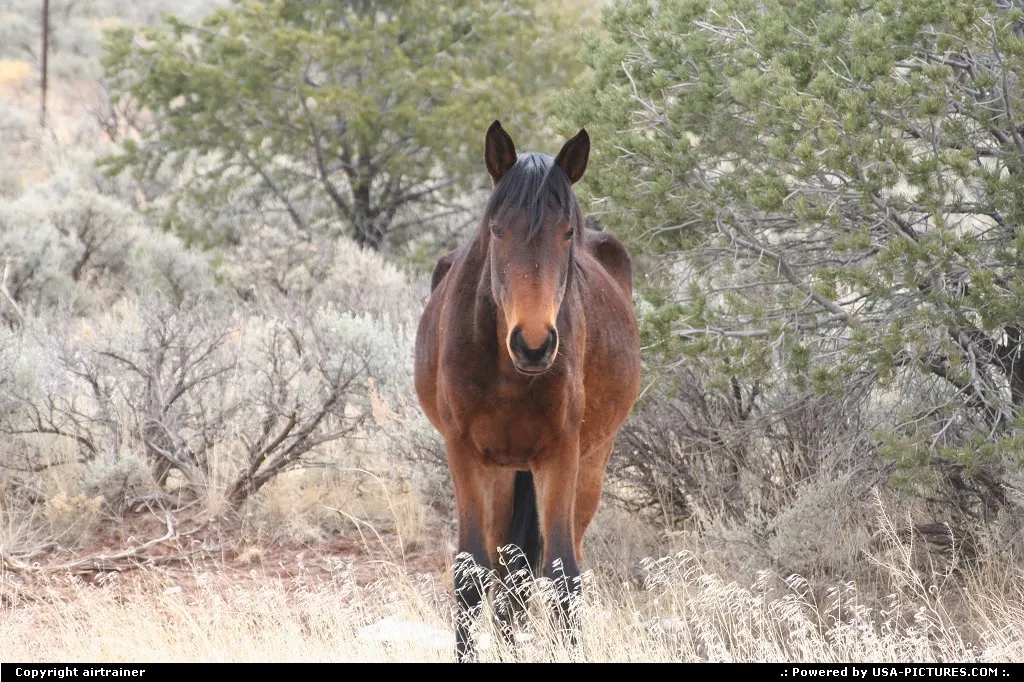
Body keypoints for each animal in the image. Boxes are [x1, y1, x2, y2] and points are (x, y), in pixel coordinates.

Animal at [413, 121, 641, 661]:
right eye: (497, 230)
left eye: (567, 232)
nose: (533, 344)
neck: (506, 371)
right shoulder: (464, 453)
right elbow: (470, 573)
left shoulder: (560, 455)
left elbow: (562, 575)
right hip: (501, 472)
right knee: (505, 570)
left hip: (589, 465)